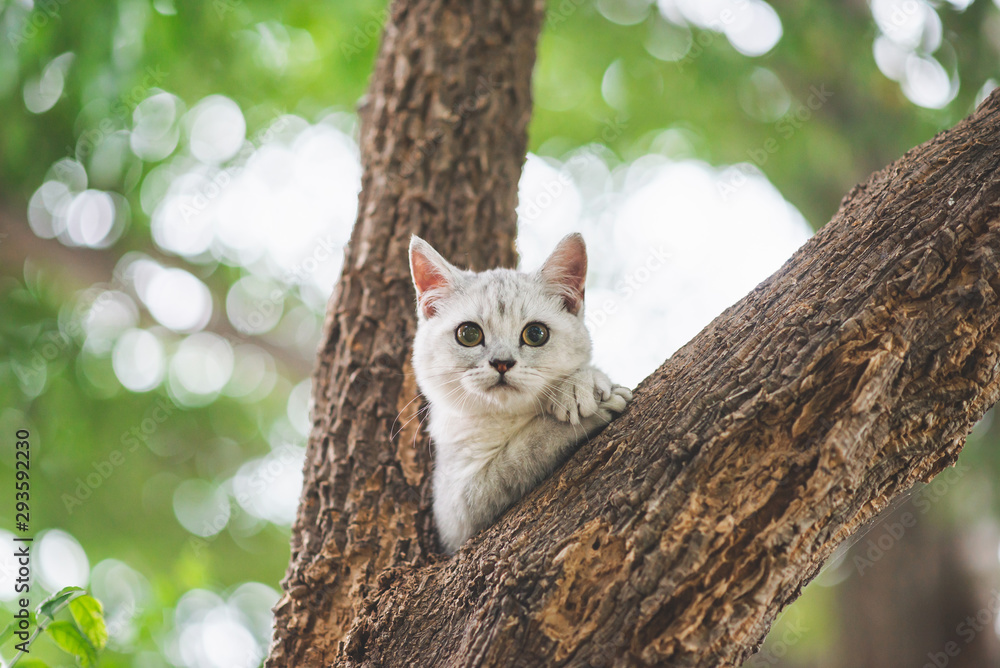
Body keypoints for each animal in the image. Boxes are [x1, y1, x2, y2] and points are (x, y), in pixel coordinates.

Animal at [408, 235, 632, 552]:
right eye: (468, 334)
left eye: (535, 334)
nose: (502, 362)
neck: (507, 419)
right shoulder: (455, 508)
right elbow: (522, 451)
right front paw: (583, 415)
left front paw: (581, 383)